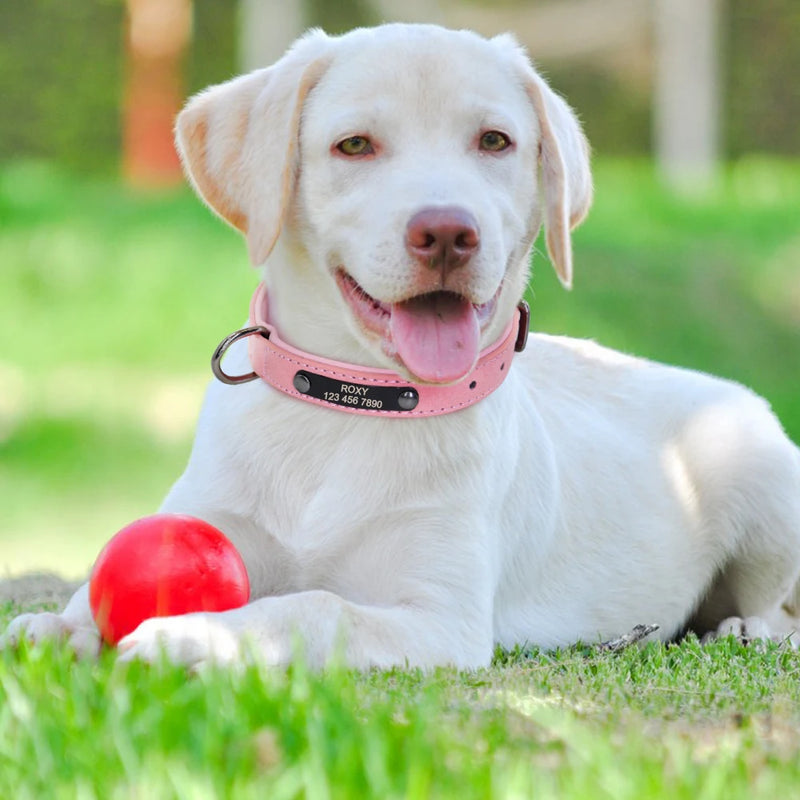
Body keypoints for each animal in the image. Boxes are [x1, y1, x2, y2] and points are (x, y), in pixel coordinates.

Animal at [3, 23, 796, 668]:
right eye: (354, 145)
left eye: (494, 141)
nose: (447, 232)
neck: (355, 404)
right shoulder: (215, 514)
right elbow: (94, 593)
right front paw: (60, 625)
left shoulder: (440, 620)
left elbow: (313, 608)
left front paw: (197, 635)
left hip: (762, 483)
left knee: (781, 605)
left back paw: (747, 630)